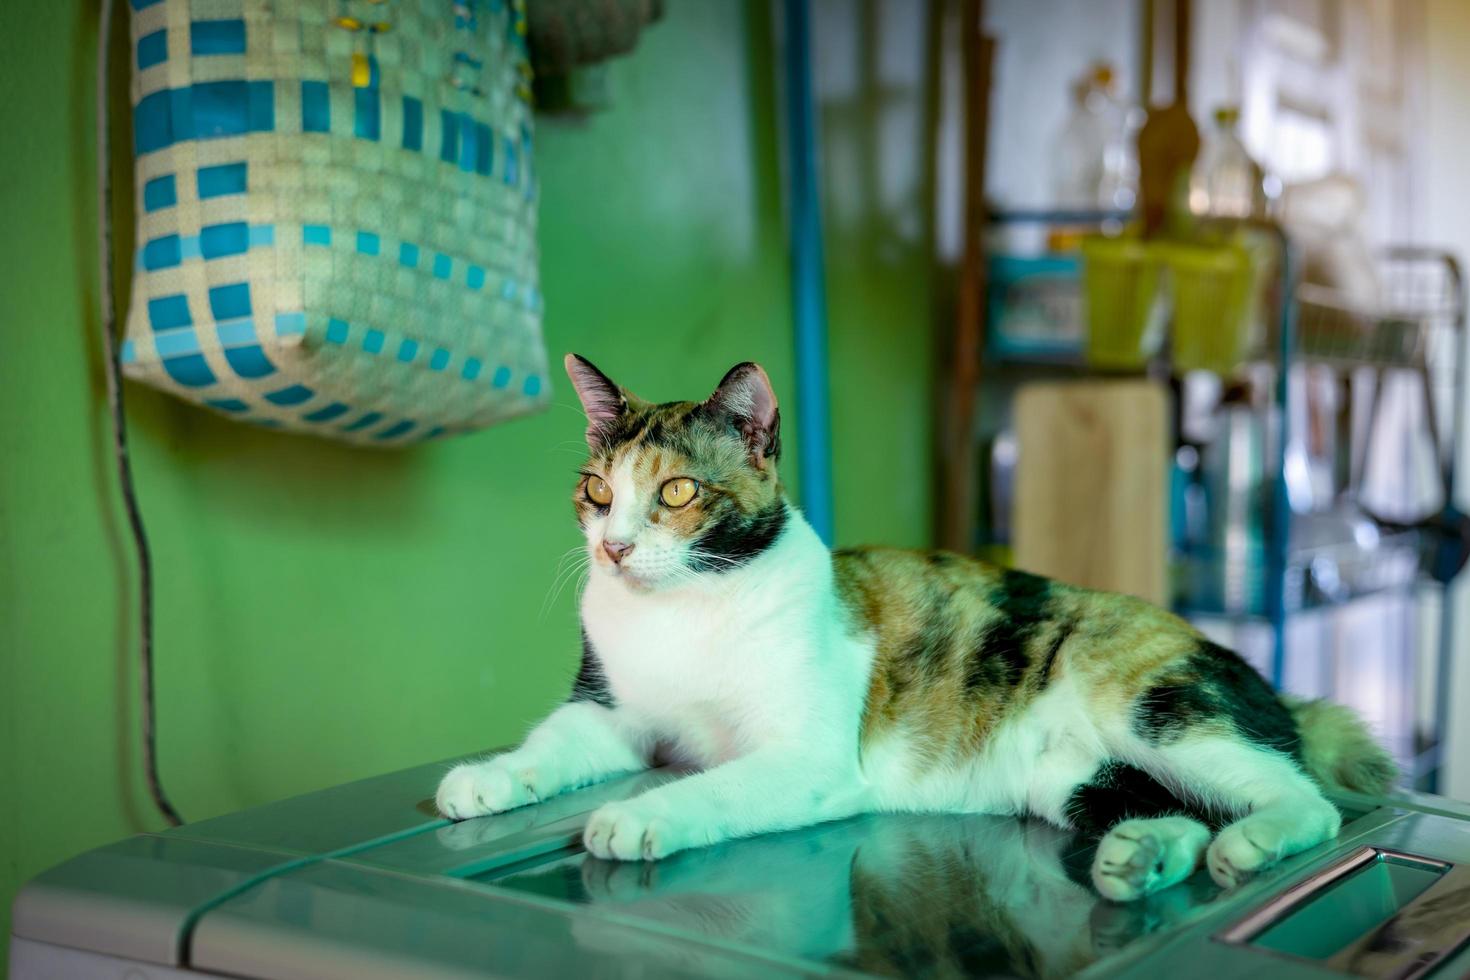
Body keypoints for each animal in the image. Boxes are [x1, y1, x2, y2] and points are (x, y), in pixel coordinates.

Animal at [432, 354, 1387, 905]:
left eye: (676, 491)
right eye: (598, 490)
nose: (616, 547)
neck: (691, 605)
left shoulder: (806, 760)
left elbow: (715, 786)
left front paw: (639, 818)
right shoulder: (612, 713)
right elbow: (554, 744)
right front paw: (488, 778)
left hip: (1158, 709)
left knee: (1304, 799)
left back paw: (1250, 843)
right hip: (1073, 777)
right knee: (1173, 809)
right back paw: (1142, 857)